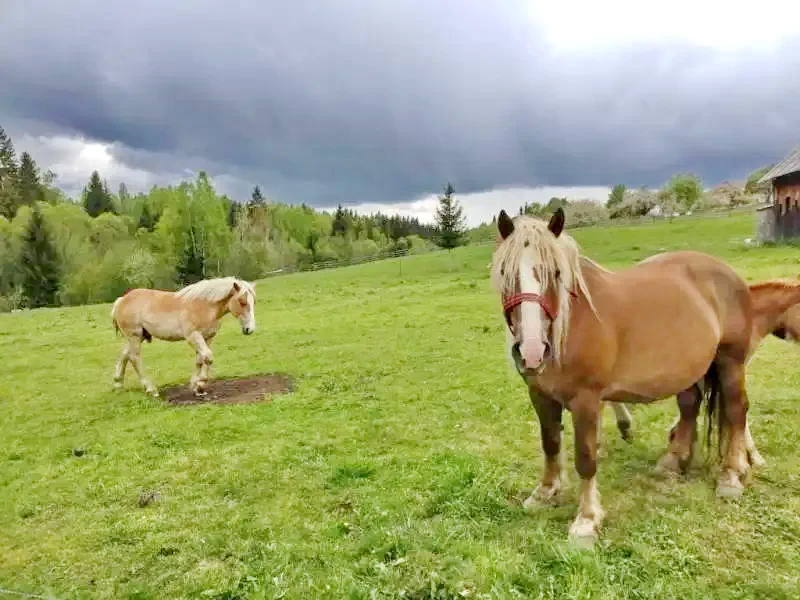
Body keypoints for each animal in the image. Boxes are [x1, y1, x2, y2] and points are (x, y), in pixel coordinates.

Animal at [111, 278, 256, 398]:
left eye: (253, 302)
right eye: (242, 302)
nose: (250, 329)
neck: (204, 306)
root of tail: (121, 300)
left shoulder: (207, 338)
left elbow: (201, 360)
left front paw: (196, 387)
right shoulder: (193, 337)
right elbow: (208, 357)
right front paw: (200, 384)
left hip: (138, 337)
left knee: (125, 354)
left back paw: (118, 383)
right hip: (134, 337)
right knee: (134, 358)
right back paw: (151, 389)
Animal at [490, 209, 800, 540]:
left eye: (556, 273)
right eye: (506, 273)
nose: (532, 352)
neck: (571, 324)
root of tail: (732, 276)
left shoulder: (586, 400)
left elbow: (585, 458)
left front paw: (586, 519)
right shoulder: (540, 395)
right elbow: (550, 444)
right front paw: (544, 493)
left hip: (730, 361)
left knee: (736, 410)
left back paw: (731, 476)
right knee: (690, 407)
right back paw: (673, 462)